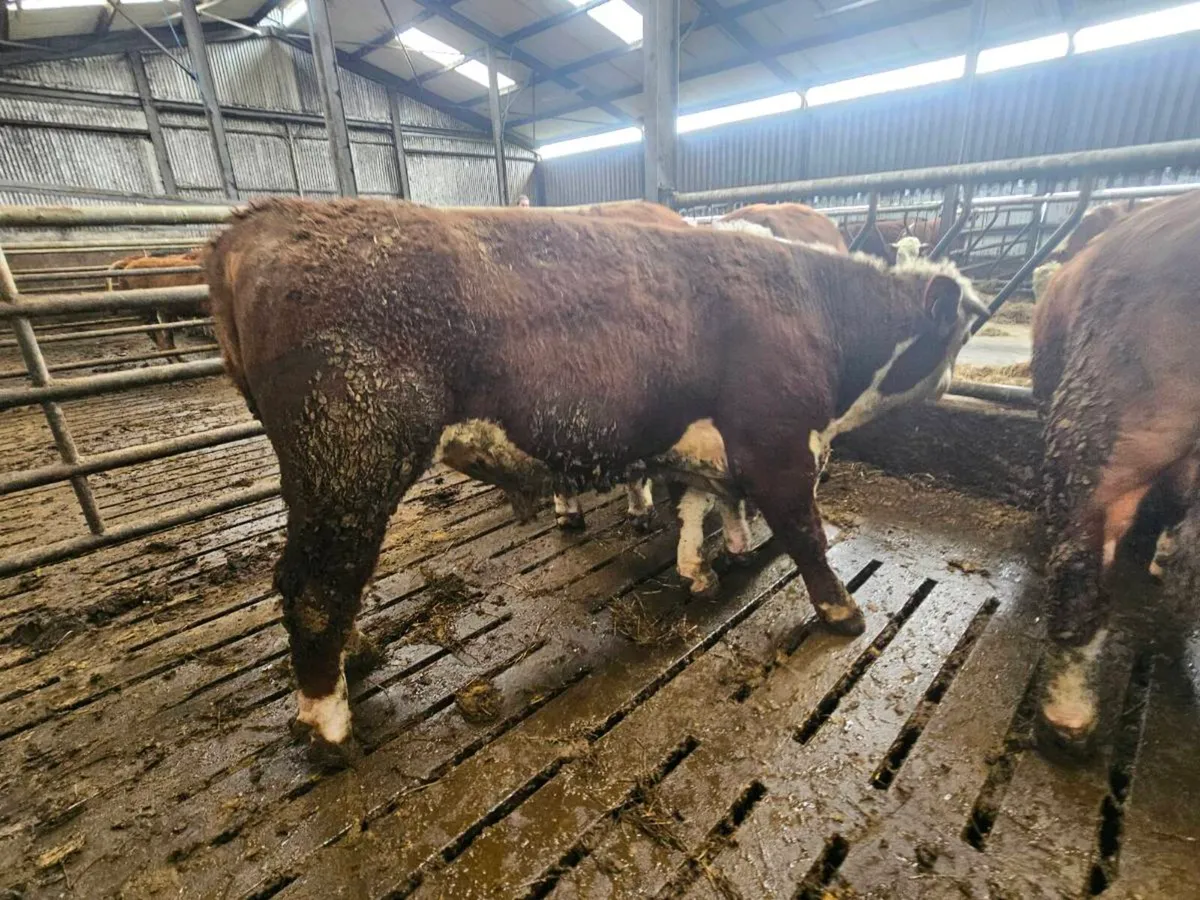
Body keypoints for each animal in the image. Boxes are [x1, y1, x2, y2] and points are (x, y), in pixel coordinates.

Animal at [207, 197, 987, 753]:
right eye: (957, 333)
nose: (954, 383)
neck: (820, 306)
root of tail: (260, 219)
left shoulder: (706, 438)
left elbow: (704, 503)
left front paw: (707, 566)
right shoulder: (781, 445)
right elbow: (805, 533)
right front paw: (840, 612)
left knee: (320, 581)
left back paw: (357, 656)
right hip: (350, 459)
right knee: (314, 585)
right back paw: (328, 723)